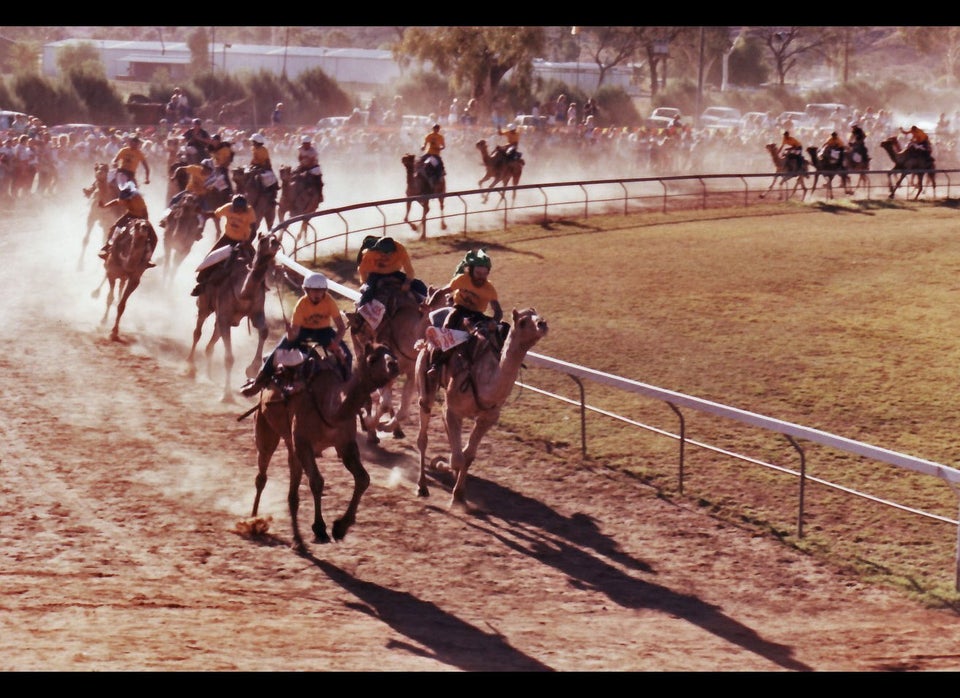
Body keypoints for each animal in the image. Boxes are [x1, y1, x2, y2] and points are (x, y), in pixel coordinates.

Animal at [185, 231, 280, 400]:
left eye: (275, 238)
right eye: (263, 240)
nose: (275, 243)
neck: (242, 292)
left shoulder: (256, 313)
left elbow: (264, 330)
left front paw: (252, 369)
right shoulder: (224, 316)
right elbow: (229, 358)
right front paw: (227, 395)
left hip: (220, 320)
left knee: (210, 343)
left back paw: (209, 375)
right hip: (204, 305)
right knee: (197, 332)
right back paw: (190, 367)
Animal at [248, 340, 402, 552]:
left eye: (392, 353)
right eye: (372, 359)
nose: (394, 365)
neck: (331, 408)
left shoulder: (345, 444)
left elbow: (363, 478)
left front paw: (340, 527)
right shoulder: (304, 443)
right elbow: (317, 481)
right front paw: (320, 529)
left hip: (291, 445)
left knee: (292, 491)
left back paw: (297, 540)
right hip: (265, 428)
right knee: (262, 474)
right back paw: (253, 521)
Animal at [412, 304, 548, 506]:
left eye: (537, 314)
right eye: (523, 322)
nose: (542, 324)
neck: (486, 381)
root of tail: (424, 341)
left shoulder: (487, 418)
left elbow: (468, 455)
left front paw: (459, 495)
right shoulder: (453, 408)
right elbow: (457, 458)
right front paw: (438, 462)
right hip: (424, 378)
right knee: (423, 434)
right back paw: (422, 486)